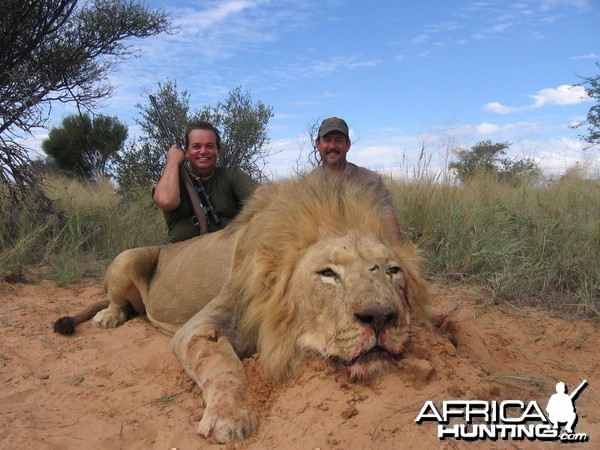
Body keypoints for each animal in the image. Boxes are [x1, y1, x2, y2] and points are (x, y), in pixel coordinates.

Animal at [54, 172, 432, 442]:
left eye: (393, 270)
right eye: (328, 274)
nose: (380, 317)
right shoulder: (199, 327)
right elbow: (222, 365)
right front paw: (229, 418)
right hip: (129, 257)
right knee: (118, 300)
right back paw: (109, 316)